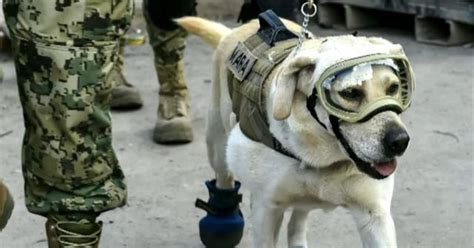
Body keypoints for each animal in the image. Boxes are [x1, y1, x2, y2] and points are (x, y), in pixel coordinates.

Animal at [180, 14, 412, 248]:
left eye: (394, 87)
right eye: (350, 93)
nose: (400, 142)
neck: (320, 155)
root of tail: (237, 29)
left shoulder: (375, 216)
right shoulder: (266, 210)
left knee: (298, 219)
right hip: (217, 146)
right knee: (223, 176)